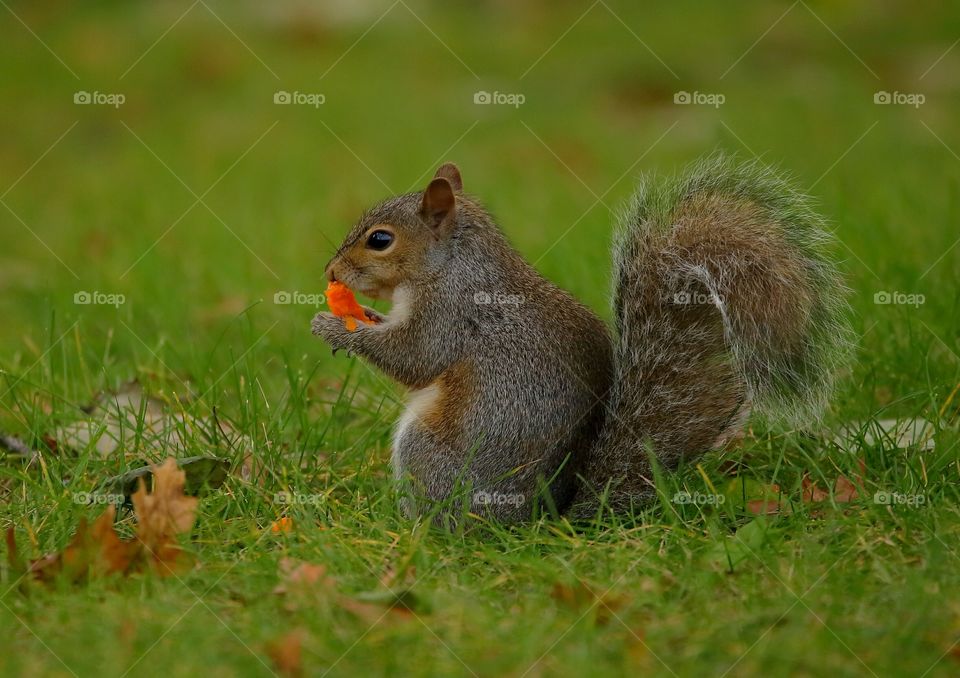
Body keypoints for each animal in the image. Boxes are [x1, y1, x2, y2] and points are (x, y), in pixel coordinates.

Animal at [312, 155, 851, 522]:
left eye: (380, 240)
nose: (330, 272)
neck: (451, 264)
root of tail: (540, 520)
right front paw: (361, 316)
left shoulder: (451, 313)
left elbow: (415, 358)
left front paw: (335, 326)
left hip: (427, 449)